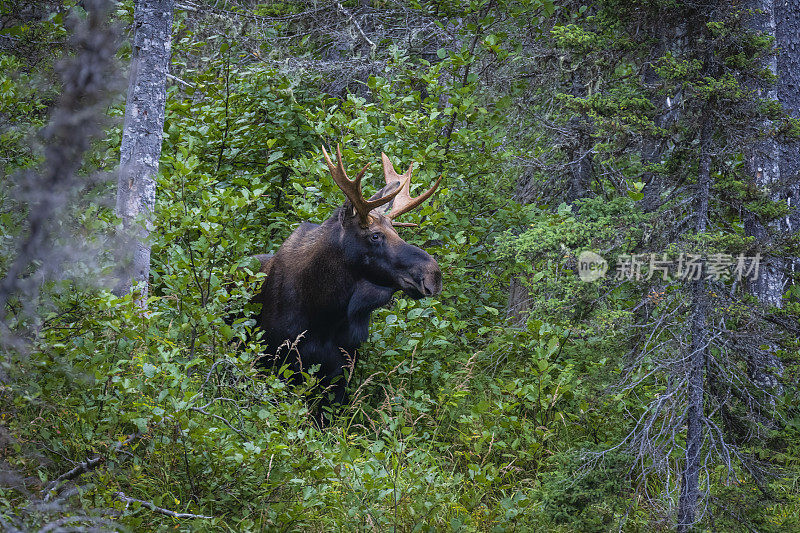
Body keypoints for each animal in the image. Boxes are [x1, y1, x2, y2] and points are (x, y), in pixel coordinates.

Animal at [248, 144, 440, 420]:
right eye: (375, 235)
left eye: (397, 232)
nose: (434, 274)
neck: (325, 309)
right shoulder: (278, 361)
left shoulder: (342, 370)